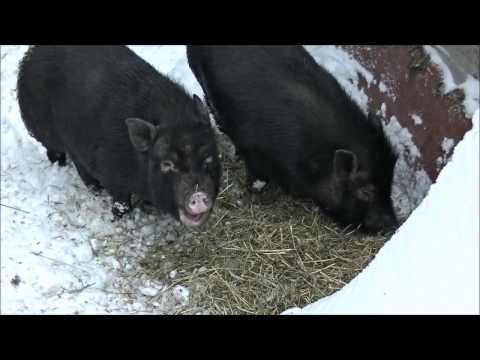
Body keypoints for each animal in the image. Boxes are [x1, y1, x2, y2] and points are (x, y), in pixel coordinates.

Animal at [17, 44, 221, 225]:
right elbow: (121, 201)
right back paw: (67, 170)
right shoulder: (110, 172)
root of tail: (30, 54)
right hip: (40, 128)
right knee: (57, 152)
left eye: (209, 159)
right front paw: (119, 217)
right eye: (167, 164)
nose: (198, 195)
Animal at [188, 45, 398, 233]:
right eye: (366, 191)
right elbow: (257, 179)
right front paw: (254, 193)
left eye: (390, 182)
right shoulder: (255, 151)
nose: (393, 225)